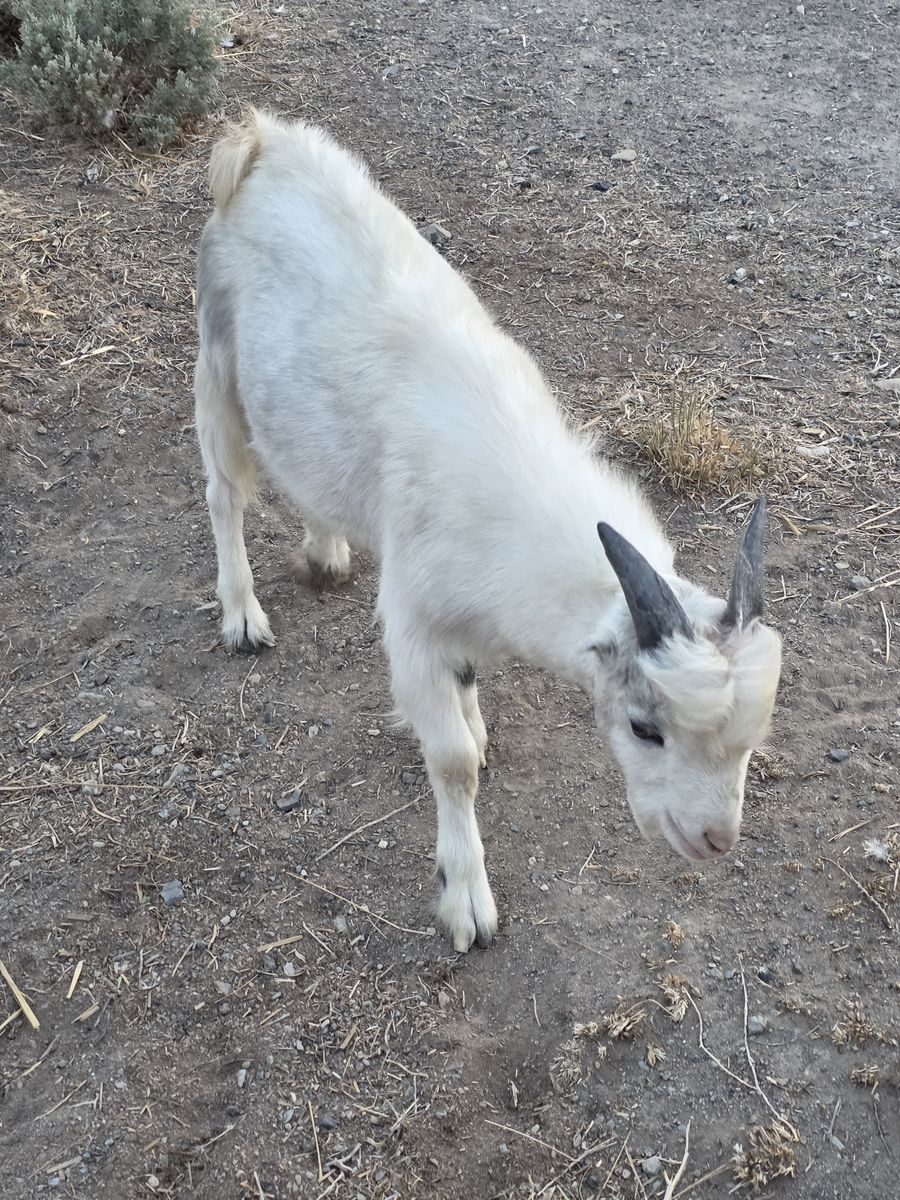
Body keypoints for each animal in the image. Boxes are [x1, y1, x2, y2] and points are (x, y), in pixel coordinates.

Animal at [195, 111, 783, 952]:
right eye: (644, 729)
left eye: (750, 739)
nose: (714, 840)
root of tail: (262, 142)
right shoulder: (412, 620)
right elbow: (451, 763)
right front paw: (466, 900)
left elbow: (468, 695)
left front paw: (477, 725)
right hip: (217, 358)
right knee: (226, 490)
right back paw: (242, 613)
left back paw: (327, 551)